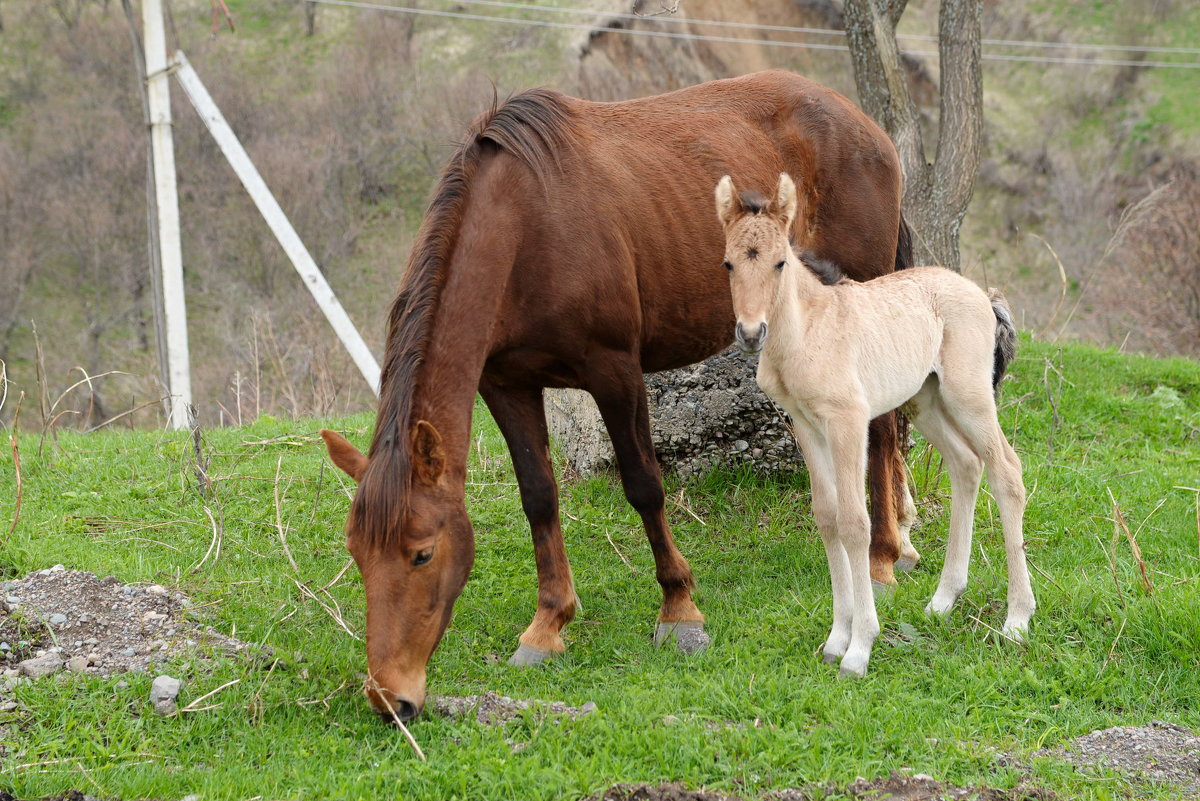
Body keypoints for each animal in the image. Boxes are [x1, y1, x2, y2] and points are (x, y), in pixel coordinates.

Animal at [319, 67, 907, 719]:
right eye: (356, 553)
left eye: (422, 553)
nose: (389, 696)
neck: (525, 227)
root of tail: (859, 121)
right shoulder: (507, 385)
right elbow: (539, 496)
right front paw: (548, 623)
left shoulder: (614, 371)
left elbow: (644, 486)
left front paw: (679, 609)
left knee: (882, 428)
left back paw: (883, 555)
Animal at [715, 173, 1036, 676]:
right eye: (728, 264)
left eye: (780, 263)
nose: (750, 334)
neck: (808, 329)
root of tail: (983, 297)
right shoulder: (806, 424)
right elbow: (827, 518)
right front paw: (836, 638)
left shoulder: (847, 421)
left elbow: (854, 522)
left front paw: (860, 647)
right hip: (926, 400)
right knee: (966, 465)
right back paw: (944, 599)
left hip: (968, 396)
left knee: (1007, 471)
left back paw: (1017, 619)